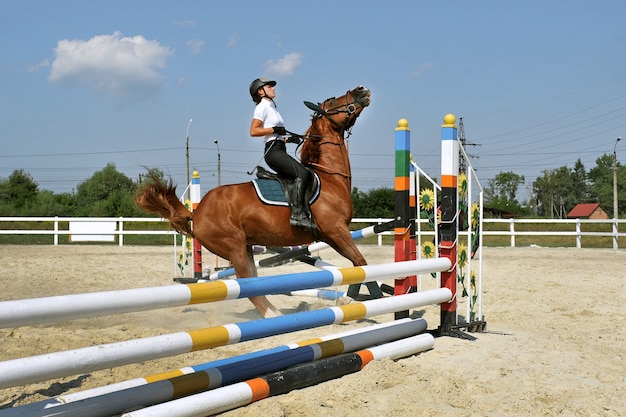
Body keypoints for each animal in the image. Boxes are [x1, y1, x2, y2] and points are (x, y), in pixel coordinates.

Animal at [135, 85, 370, 316]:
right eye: (331, 101)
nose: (362, 90)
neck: (330, 178)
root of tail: (197, 212)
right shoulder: (335, 229)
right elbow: (361, 263)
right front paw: (349, 298)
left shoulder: (330, 235)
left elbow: (357, 263)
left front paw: (349, 297)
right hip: (234, 247)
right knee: (245, 282)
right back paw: (272, 314)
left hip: (245, 247)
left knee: (252, 281)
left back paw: (274, 312)